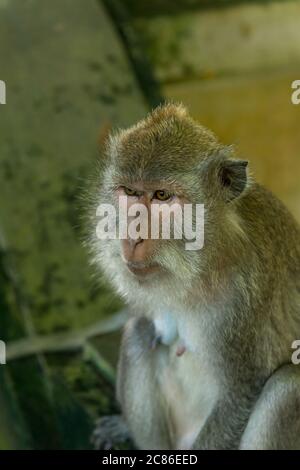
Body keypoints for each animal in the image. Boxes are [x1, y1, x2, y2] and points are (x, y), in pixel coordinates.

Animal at [88, 103, 300, 452]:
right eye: (130, 192)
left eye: (162, 196)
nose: (132, 237)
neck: (204, 266)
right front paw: (120, 426)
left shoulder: (244, 299)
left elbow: (240, 393)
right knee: (138, 331)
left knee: (286, 387)